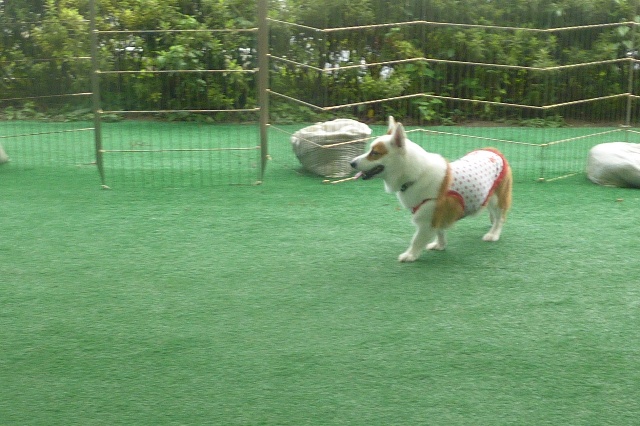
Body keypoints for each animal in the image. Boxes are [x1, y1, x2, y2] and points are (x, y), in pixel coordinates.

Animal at [350, 117, 510, 262]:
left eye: (375, 153)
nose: (351, 163)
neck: (416, 175)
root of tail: (494, 150)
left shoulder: (427, 217)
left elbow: (416, 240)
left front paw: (409, 256)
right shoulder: (437, 214)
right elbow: (440, 232)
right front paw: (440, 246)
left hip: (497, 200)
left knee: (500, 218)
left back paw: (493, 234)